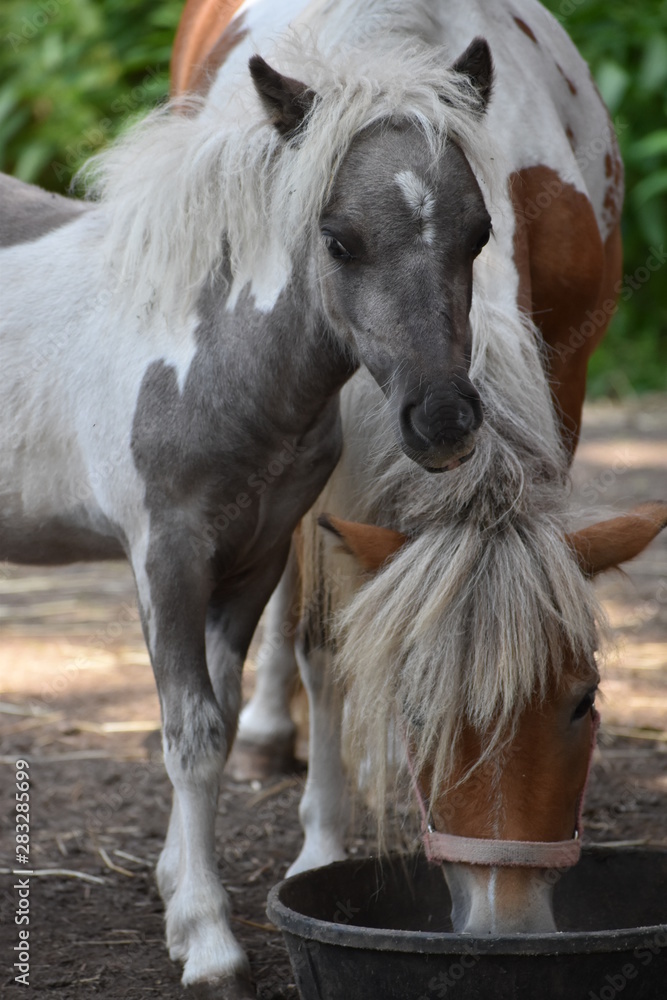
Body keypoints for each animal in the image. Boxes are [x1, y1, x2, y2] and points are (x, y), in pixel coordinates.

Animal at [0, 15, 507, 995]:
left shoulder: (257, 555)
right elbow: (191, 730)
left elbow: (225, 714)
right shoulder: (166, 554)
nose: (442, 420)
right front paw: (209, 944)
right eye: (339, 239)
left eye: (478, 233)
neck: (202, 349)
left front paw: (174, 892)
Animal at [169, 0, 665, 947]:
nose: (506, 926)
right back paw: (264, 729)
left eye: (582, 702)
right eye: (417, 709)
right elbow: (326, 642)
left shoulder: (568, 373)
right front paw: (321, 846)